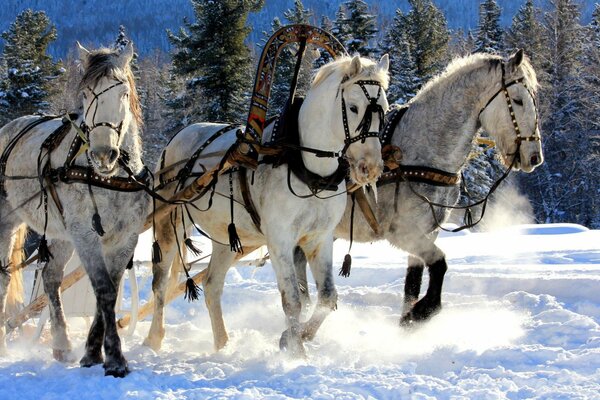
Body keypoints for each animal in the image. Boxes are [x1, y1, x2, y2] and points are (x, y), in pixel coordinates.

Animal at [0, 42, 149, 376]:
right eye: (86, 93)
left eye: (122, 92)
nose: (103, 154)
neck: (109, 178)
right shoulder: (85, 235)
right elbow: (103, 289)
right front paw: (115, 358)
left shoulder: (125, 238)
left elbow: (108, 291)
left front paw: (92, 352)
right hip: (6, 221)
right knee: (3, 278)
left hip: (60, 234)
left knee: (51, 278)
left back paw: (61, 343)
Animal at [145, 54, 390, 356]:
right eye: (354, 107)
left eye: (385, 110)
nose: (371, 167)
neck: (306, 167)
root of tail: (178, 137)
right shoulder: (280, 239)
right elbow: (293, 300)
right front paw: (296, 351)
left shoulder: (319, 239)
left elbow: (327, 297)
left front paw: (300, 336)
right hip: (171, 223)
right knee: (159, 283)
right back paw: (154, 339)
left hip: (226, 238)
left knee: (212, 286)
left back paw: (222, 344)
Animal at [296, 50, 544, 324]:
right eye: (518, 100)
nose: (534, 156)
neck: (420, 153)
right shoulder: (402, 232)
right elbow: (439, 264)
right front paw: (424, 310)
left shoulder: (427, 231)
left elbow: (412, 284)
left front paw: (407, 321)